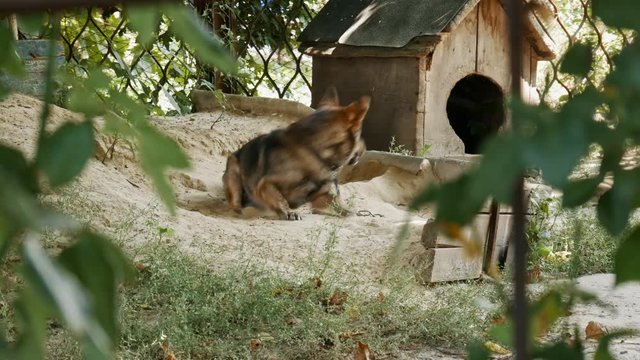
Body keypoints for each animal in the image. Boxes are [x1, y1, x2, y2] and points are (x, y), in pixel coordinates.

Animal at [222, 88, 370, 221]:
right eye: (360, 133)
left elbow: (340, 208)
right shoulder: (265, 184)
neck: (312, 150)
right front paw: (289, 212)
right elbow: (280, 198)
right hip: (234, 174)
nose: (365, 147)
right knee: (235, 203)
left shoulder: (323, 194)